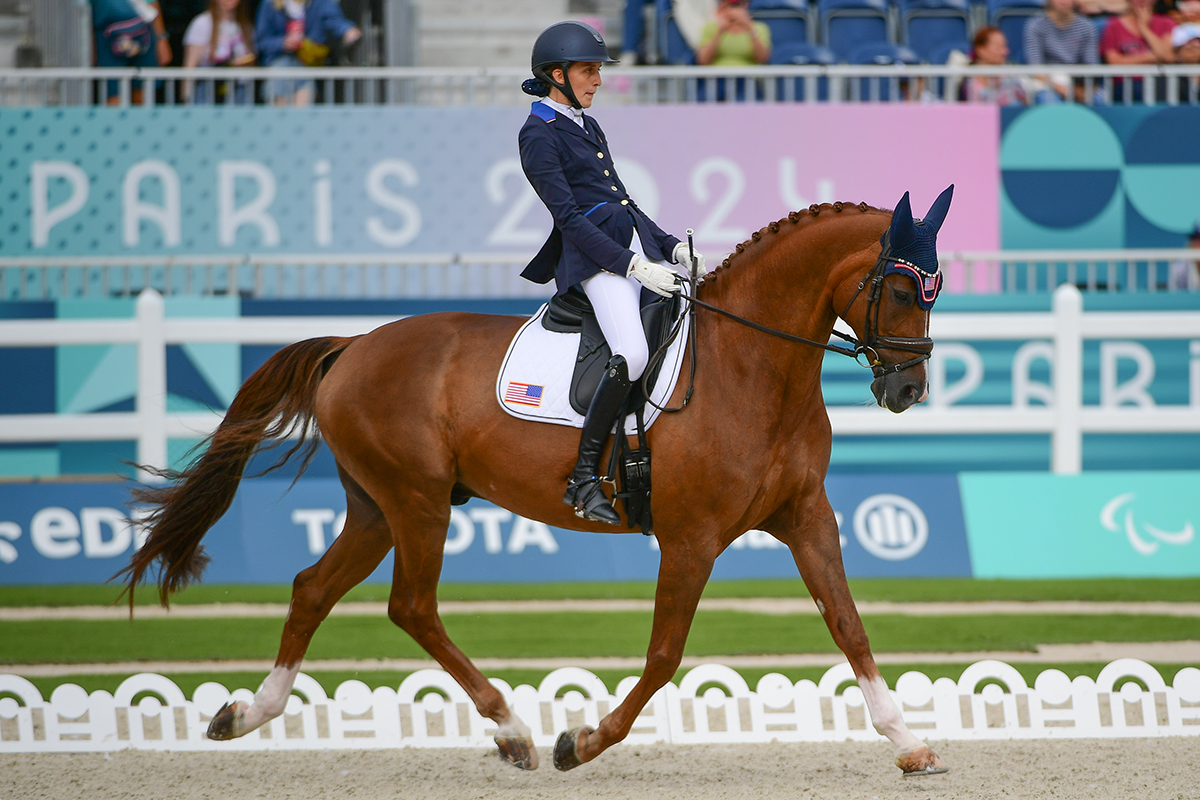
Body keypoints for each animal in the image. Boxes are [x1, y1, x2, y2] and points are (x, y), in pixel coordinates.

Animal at [117, 195, 950, 777]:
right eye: (899, 291)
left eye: (934, 291)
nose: (908, 389)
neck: (752, 366)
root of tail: (354, 345)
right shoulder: (691, 539)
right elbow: (663, 656)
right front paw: (582, 741)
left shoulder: (807, 518)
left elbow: (849, 625)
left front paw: (910, 745)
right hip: (417, 503)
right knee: (410, 605)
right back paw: (512, 729)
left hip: (377, 508)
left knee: (313, 589)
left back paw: (246, 714)